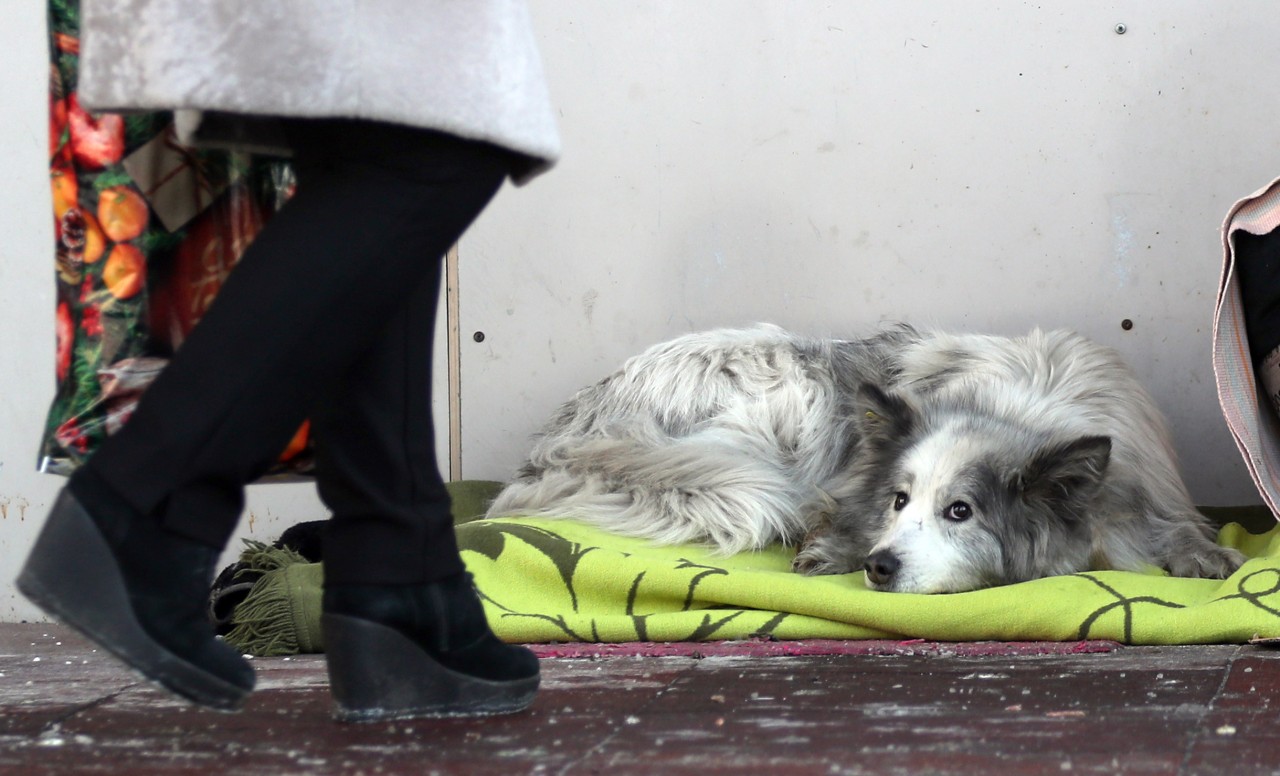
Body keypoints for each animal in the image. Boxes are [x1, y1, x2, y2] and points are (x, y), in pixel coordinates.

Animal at [483, 323, 1244, 596]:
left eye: (961, 512)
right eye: (900, 500)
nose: (879, 567)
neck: (1027, 413)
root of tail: (567, 431)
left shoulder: (1150, 492)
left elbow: (1180, 529)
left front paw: (1209, 558)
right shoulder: (854, 478)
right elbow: (847, 510)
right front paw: (831, 548)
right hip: (797, 385)